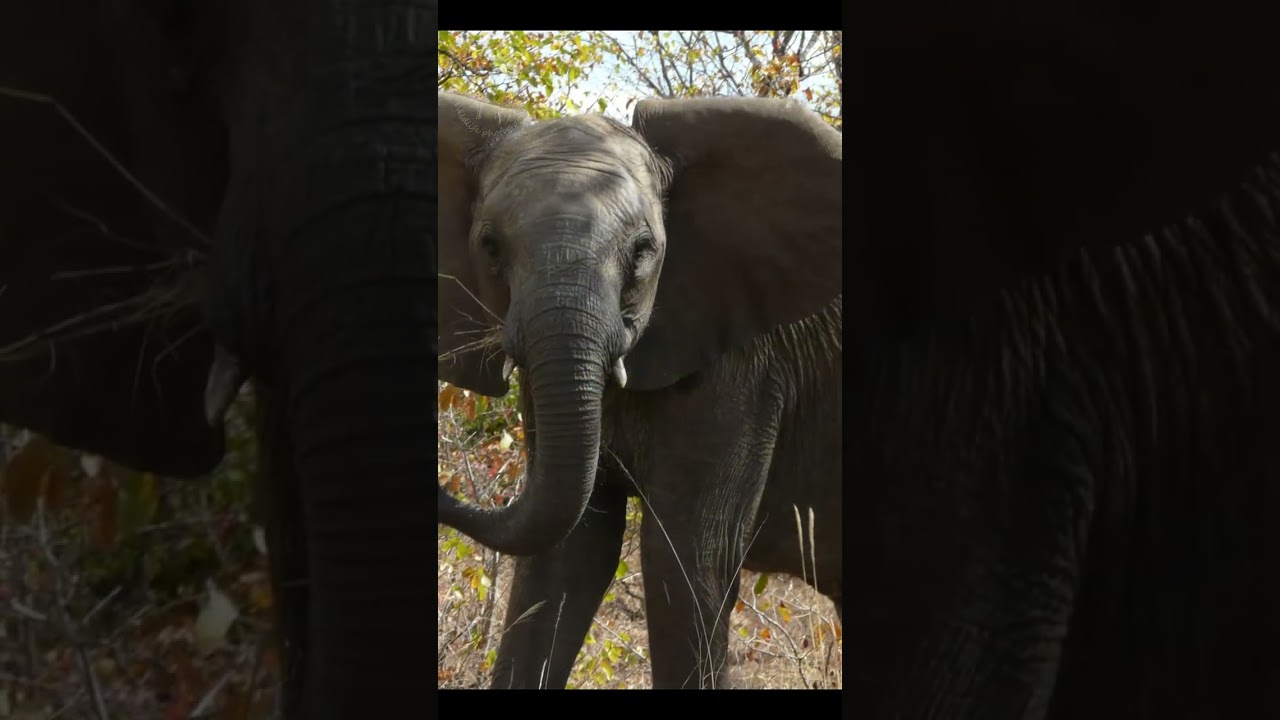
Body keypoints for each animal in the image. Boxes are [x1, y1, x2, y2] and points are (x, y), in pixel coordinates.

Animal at [436, 91, 842, 688]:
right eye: (489, 246)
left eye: (643, 250)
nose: (441, 488)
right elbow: (568, 551)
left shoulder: (743, 372)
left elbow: (685, 558)